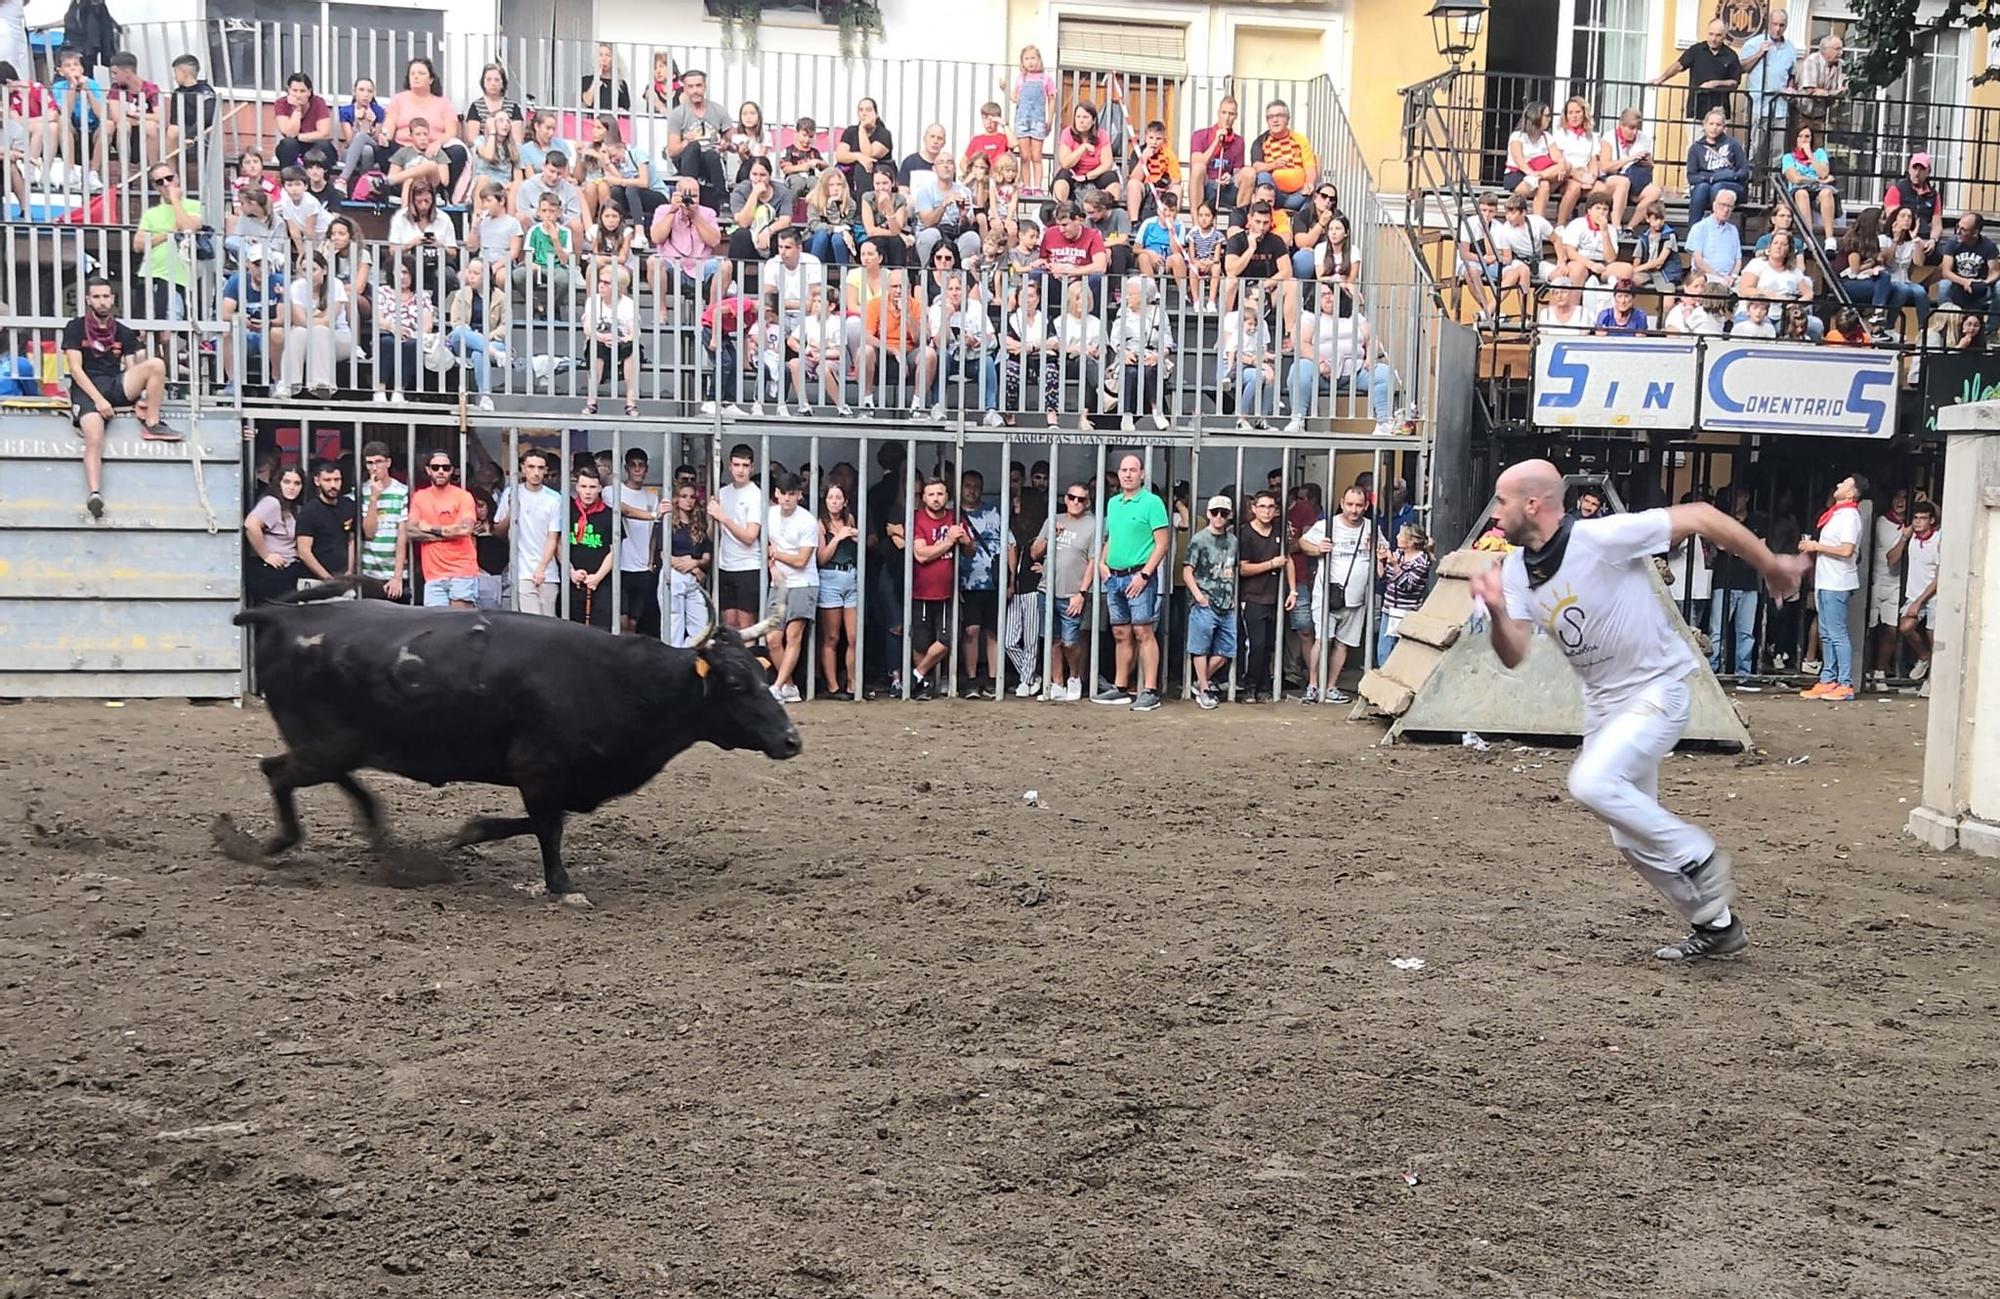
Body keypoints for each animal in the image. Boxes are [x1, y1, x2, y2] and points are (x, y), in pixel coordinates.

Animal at [227, 575, 804, 899]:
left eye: (761, 672)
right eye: (734, 683)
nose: (791, 740)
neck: (623, 682)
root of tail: (277, 613)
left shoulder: (558, 781)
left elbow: (540, 821)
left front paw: (469, 832)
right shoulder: (537, 770)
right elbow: (548, 827)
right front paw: (562, 886)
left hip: (338, 746)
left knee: (333, 780)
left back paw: (382, 843)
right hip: (324, 747)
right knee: (276, 772)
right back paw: (267, 844)